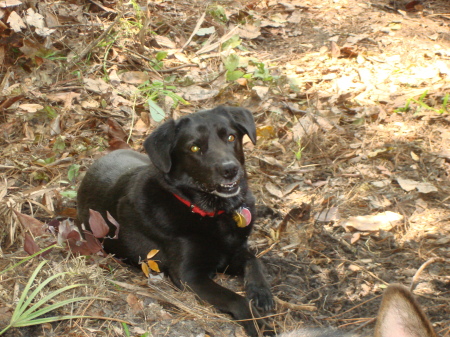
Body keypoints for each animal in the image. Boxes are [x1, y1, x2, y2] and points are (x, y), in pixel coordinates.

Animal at [77, 106, 272, 334]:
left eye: (231, 137)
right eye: (195, 148)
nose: (230, 169)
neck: (211, 211)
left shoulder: (234, 251)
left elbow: (254, 260)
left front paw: (260, 292)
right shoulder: (189, 276)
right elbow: (235, 299)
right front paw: (259, 324)